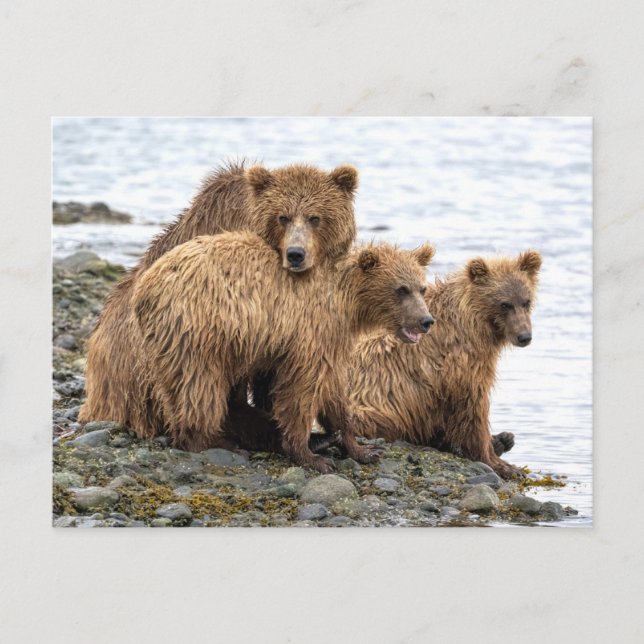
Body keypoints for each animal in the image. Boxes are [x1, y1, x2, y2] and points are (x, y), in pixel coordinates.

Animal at [131, 232, 435, 472]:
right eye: (401, 289)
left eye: (422, 287)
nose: (426, 320)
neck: (346, 303)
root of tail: (143, 288)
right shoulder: (310, 331)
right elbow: (301, 389)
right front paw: (310, 456)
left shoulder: (333, 341)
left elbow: (335, 391)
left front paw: (361, 449)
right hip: (197, 330)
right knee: (199, 387)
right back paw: (218, 442)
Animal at [345, 250, 542, 479]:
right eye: (504, 304)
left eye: (526, 301)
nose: (524, 336)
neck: (473, 323)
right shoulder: (460, 364)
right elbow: (472, 407)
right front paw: (503, 465)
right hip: (369, 407)